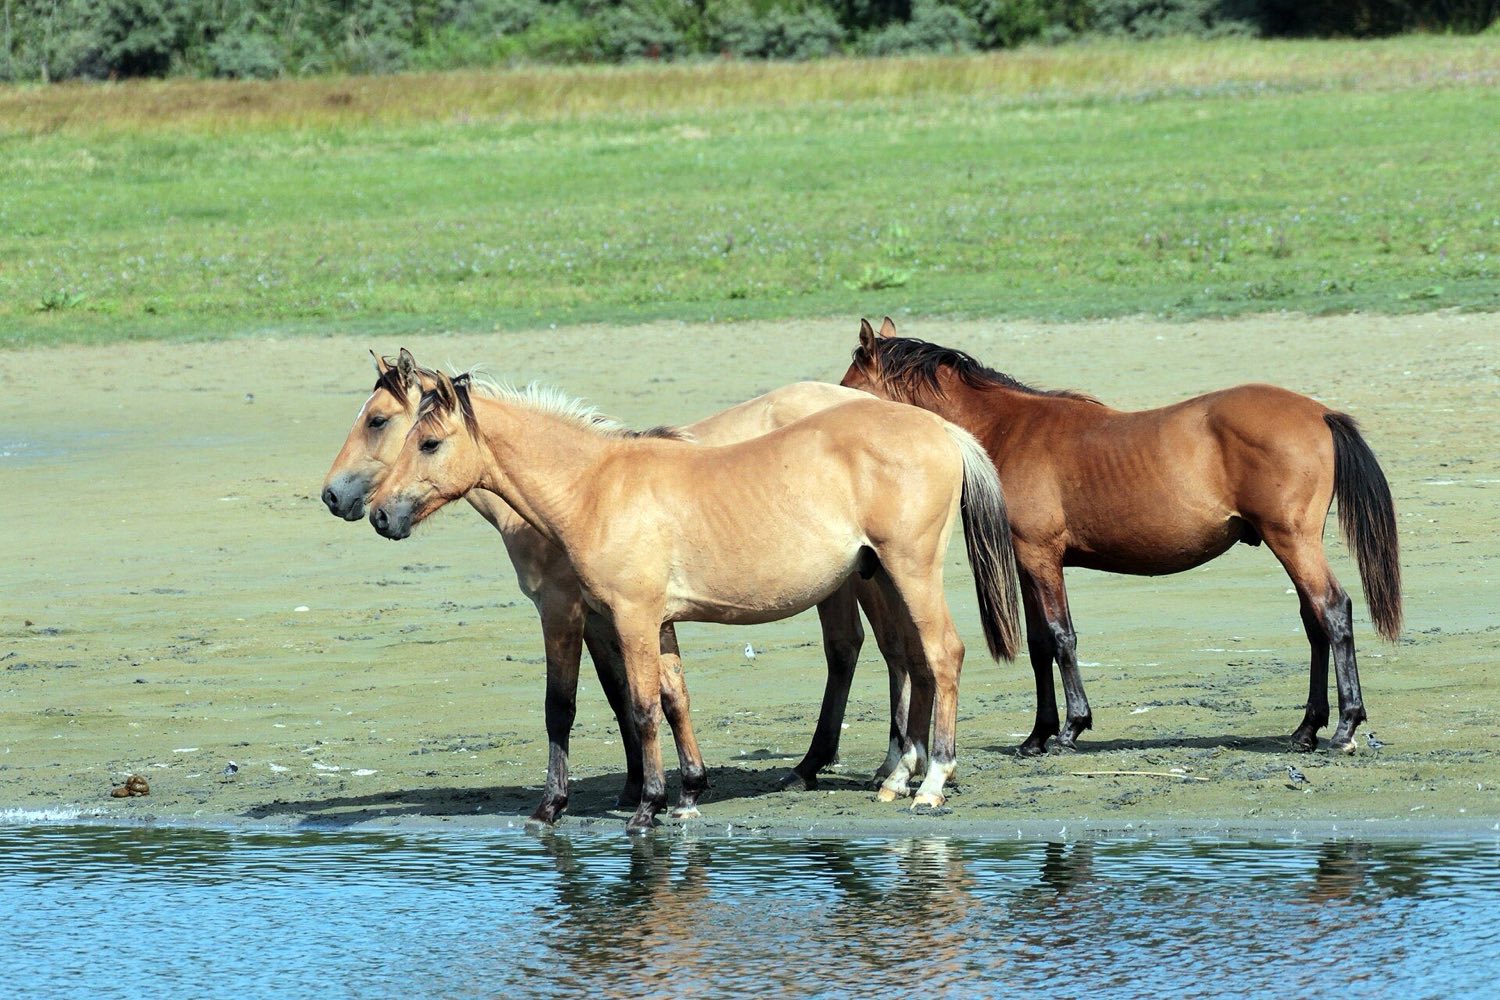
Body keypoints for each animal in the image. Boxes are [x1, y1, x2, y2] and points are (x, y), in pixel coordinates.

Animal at [322, 351, 987, 823]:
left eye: (412, 434)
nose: (372, 512)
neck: (595, 487)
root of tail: (939, 429)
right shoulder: (653, 622)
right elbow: (671, 698)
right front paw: (683, 794)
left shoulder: (608, 615)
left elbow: (618, 706)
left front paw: (631, 805)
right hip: (881, 577)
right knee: (910, 659)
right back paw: (896, 776)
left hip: (908, 572)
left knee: (940, 654)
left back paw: (929, 780)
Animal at [840, 318, 1401, 756]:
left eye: (849, 387)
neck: (1008, 430)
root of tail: (1318, 412)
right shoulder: (1028, 561)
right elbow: (1041, 644)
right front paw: (1037, 736)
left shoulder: (1041, 556)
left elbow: (1061, 636)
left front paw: (1071, 727)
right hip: (1296, 545)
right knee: (1314, 622)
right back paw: (1307, 728)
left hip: (1293, 541)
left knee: (1333, 611)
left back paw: (1345, 726)